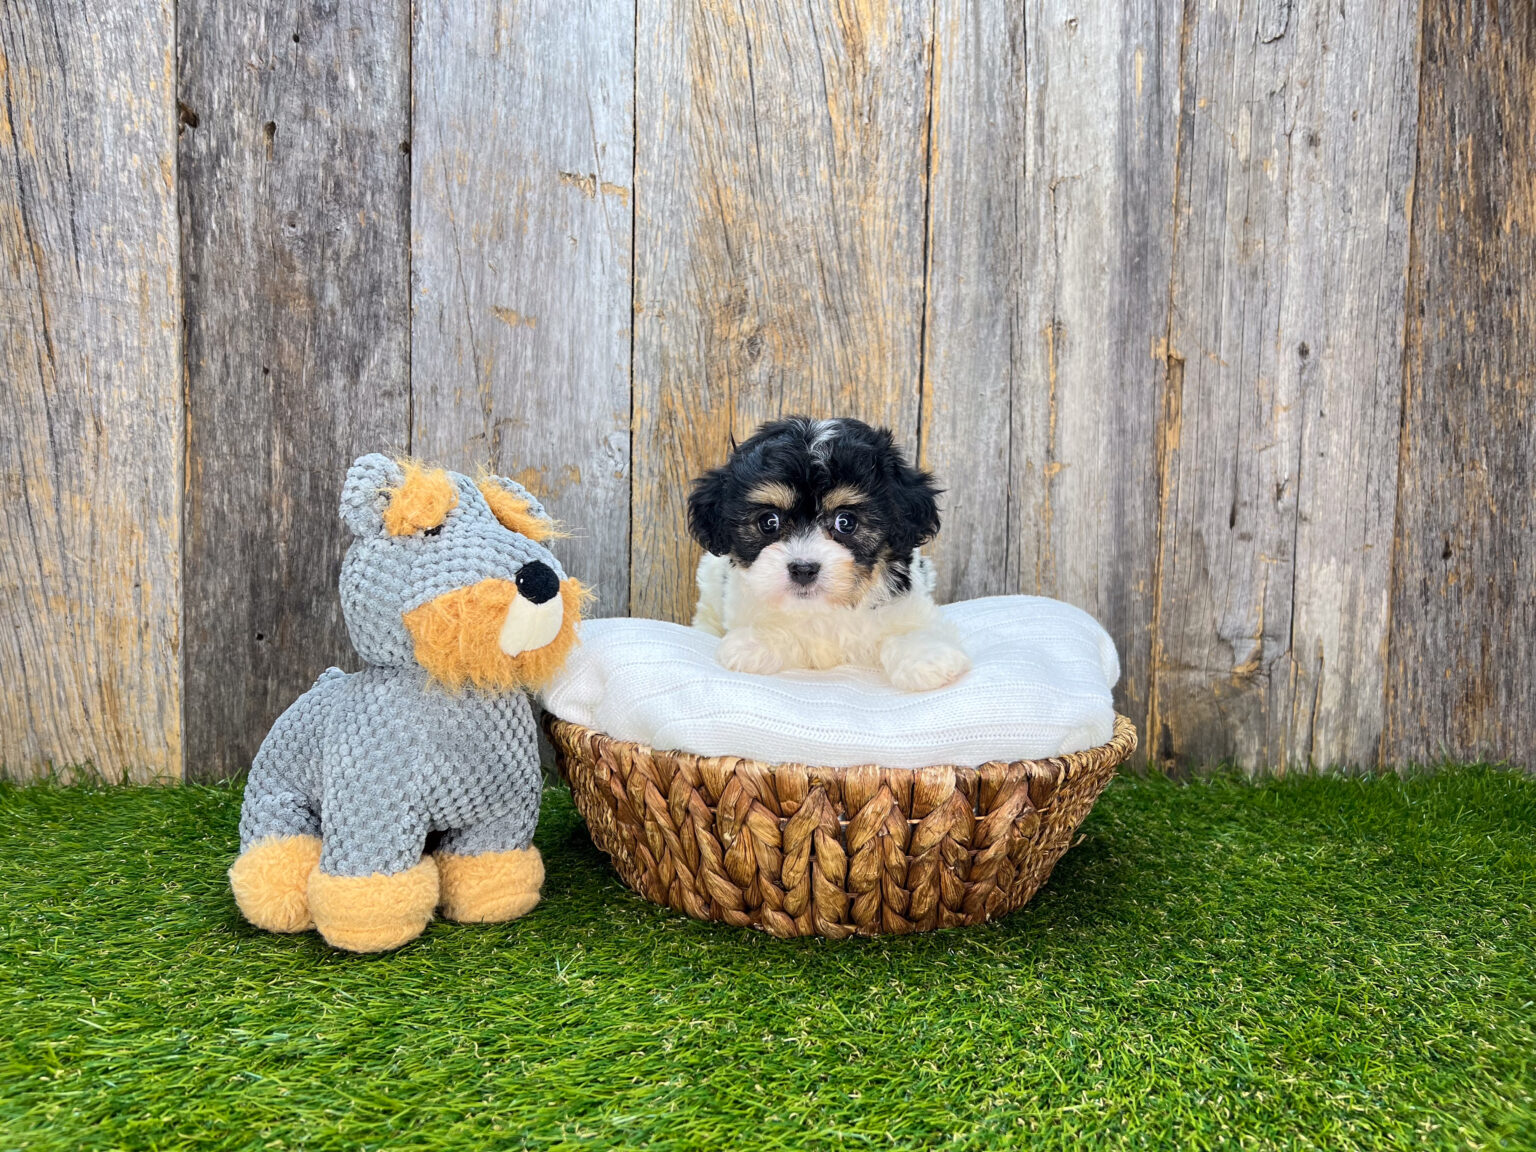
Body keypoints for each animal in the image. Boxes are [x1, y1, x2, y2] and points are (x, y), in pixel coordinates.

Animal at [687, 416, 971, 692]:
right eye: (769, 522)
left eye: (845, 522)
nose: (803, 569)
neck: (825, 607)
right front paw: (752, 644)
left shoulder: (909, 604)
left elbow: (910, 629)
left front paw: (926, 657)